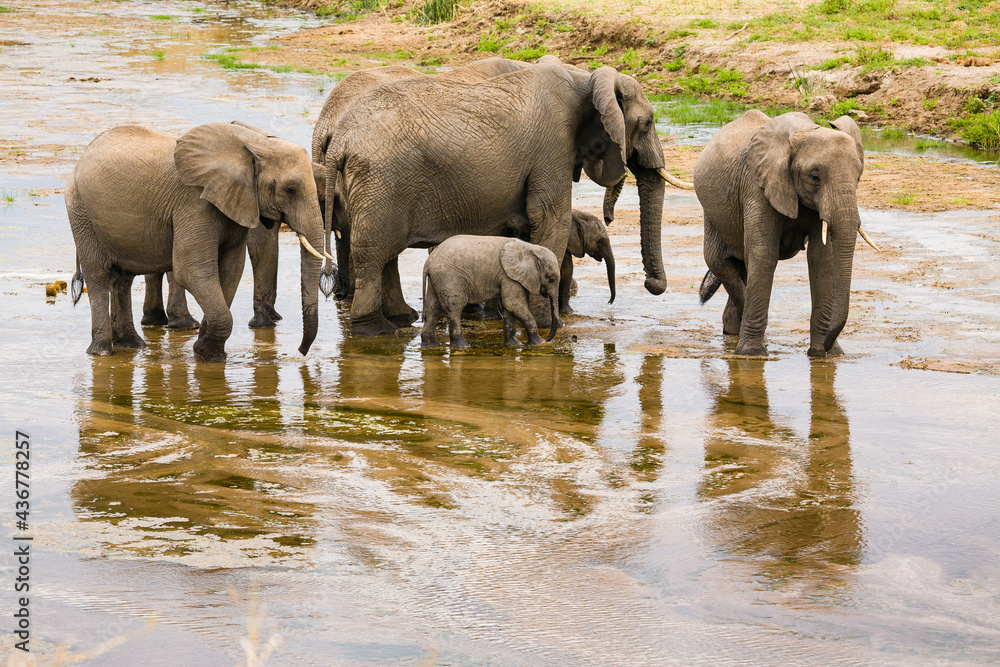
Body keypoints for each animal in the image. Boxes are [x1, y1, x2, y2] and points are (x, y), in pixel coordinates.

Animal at [66, 122, 326, 361]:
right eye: (290, 190)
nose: (301, 352)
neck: (255, 144)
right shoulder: (195, 203)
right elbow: (192, 271)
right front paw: (208, 355)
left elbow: (230, 271)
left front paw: (206, 350)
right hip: (81, 213)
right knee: (98, 275)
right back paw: (102, 352)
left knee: (123, 279)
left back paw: (132, 345)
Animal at [327, 60, 679, 336]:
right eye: (648, 122)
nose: (652, 285)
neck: (586, 77)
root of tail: (338, 141)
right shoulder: (553, 145)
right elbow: (551, 220)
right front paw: (549, 324)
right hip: (380, 183)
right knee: (374, 254)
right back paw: (376, 330)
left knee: (385, 255)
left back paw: (402, 320)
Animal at [421, 235, 562, 348]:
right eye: (551, 279)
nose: (548, 338)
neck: (531, 248)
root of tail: (428, 262)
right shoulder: (508, 276)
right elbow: (514, 304)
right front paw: (540, 343)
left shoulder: (512, 277)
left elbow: (510, 308)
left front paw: (514, 344)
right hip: (449, 277)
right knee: (454, 308)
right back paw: (463, 346)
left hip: (438, 279)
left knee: (434, 308)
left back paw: (431, 345)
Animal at [693, 110, 879, 357]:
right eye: (815, 177)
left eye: (858, 178)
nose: (829, 346)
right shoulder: (757, 187)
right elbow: (764, 255)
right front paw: (752, 355)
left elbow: (821, 259)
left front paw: (824, 354)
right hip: (712, 211)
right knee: (720, 262)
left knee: (741, 266)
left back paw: (733, 331)